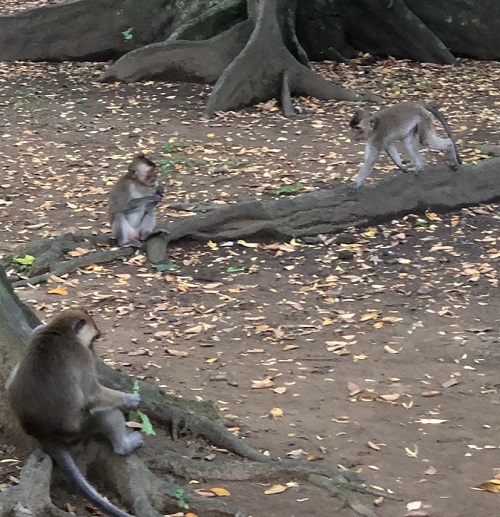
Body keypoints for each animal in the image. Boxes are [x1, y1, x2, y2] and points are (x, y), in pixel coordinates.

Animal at [6, 308, 143, 512]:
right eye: (94, 336)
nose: (98, 339)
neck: (61, 330)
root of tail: (44, 436)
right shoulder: (83, 356)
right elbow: (92, 395)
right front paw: (130, 400)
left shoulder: (40, 333)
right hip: (81, 429)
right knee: (107, 414)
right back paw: (124, 445)